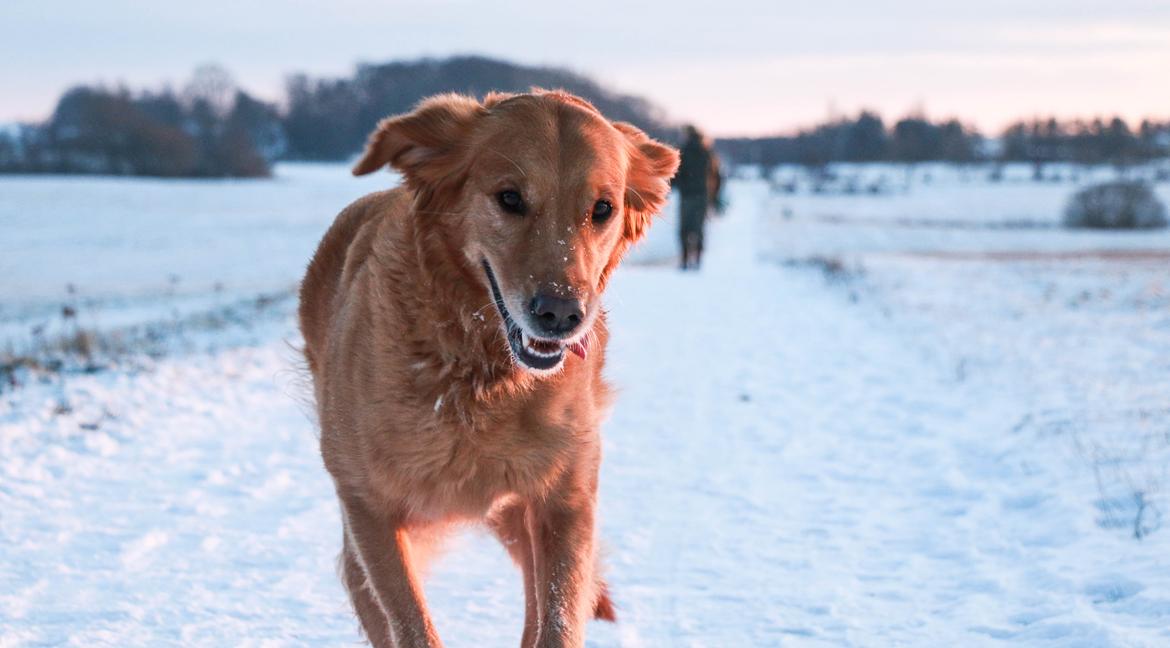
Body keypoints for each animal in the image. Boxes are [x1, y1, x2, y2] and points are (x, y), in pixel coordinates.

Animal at [299, 91, 678, 645]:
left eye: (602, 209)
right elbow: (411, 624)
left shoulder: (566, 499)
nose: (561, 315)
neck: (480, 372)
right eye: (510, 198)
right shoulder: (368, 506)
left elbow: (558, 618)